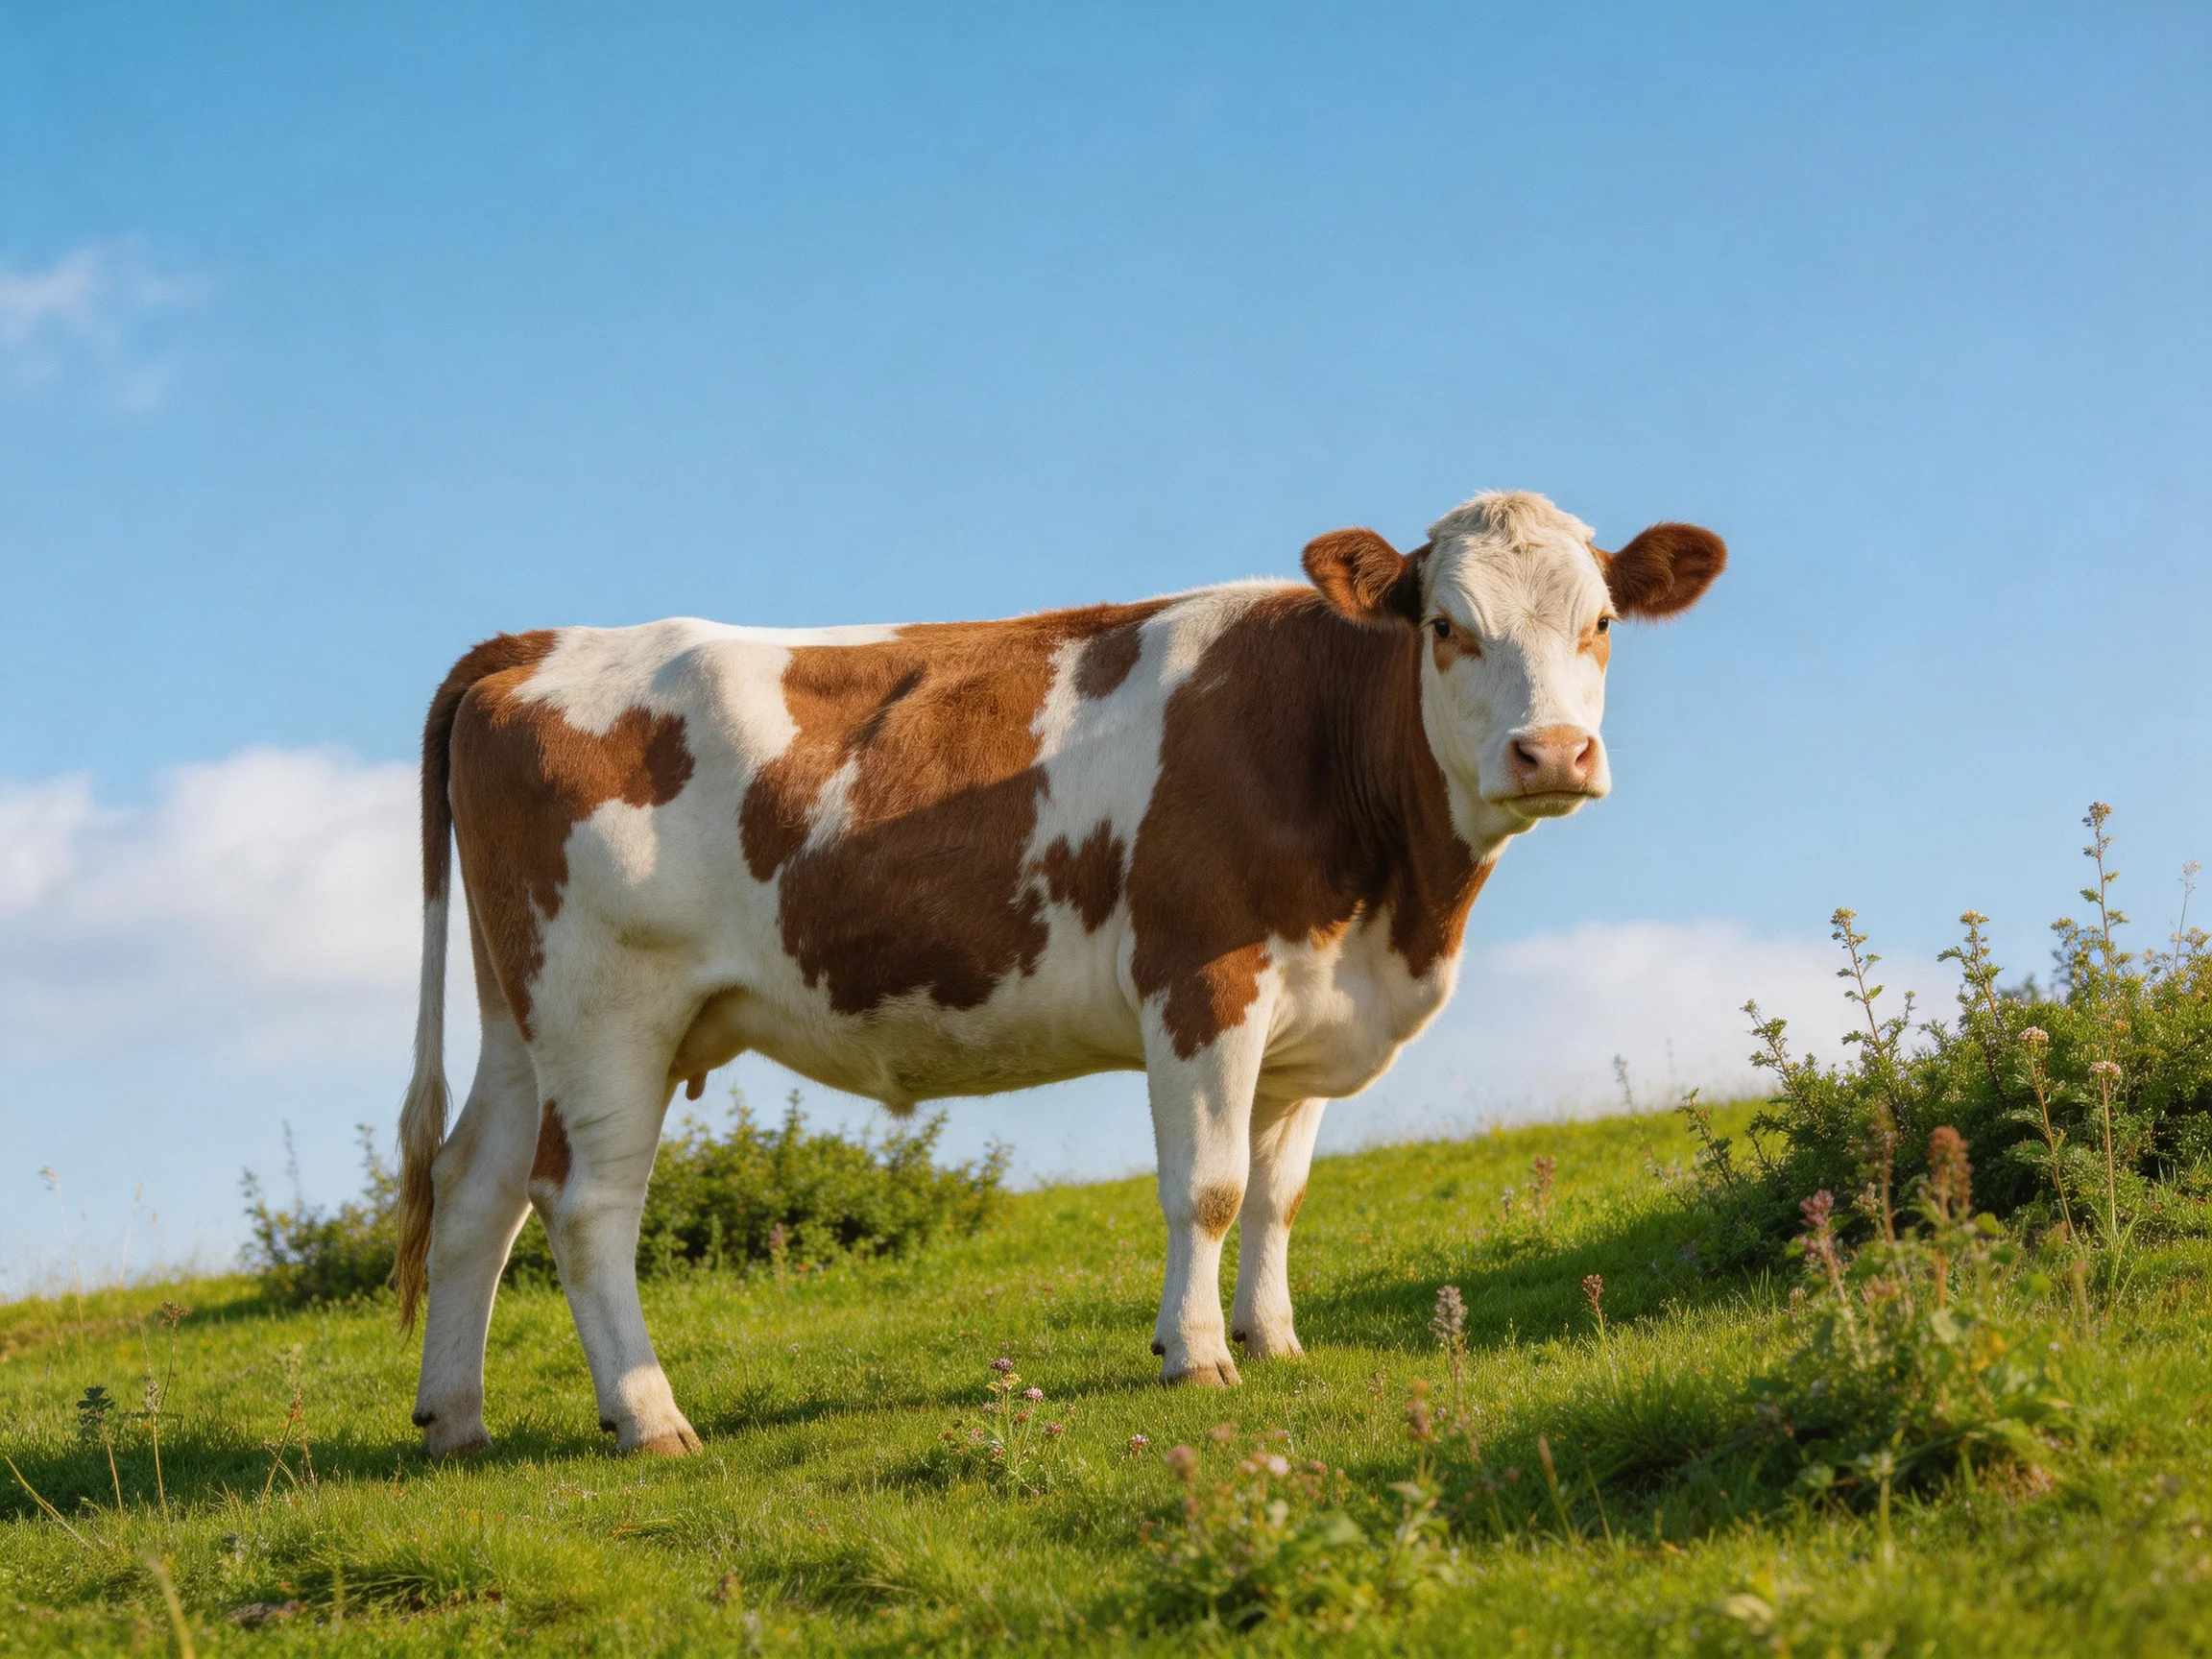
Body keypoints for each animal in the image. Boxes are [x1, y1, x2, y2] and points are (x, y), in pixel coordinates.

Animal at [393, 489, 1723, 1455]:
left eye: (1602, 623)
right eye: (1448, 627)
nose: (1553, 751)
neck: (1392, 904)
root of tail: (542, 645)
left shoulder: (1310, 1015)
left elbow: (1280, 1193)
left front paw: (1276, 1341)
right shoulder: (1203, 980)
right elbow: (1210, 1189)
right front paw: (1199, 1355)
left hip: (521, 1016)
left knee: (475, 1189)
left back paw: (455, 1421)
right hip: (607, 1010)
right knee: (585, 1203)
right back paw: (650, 1416)